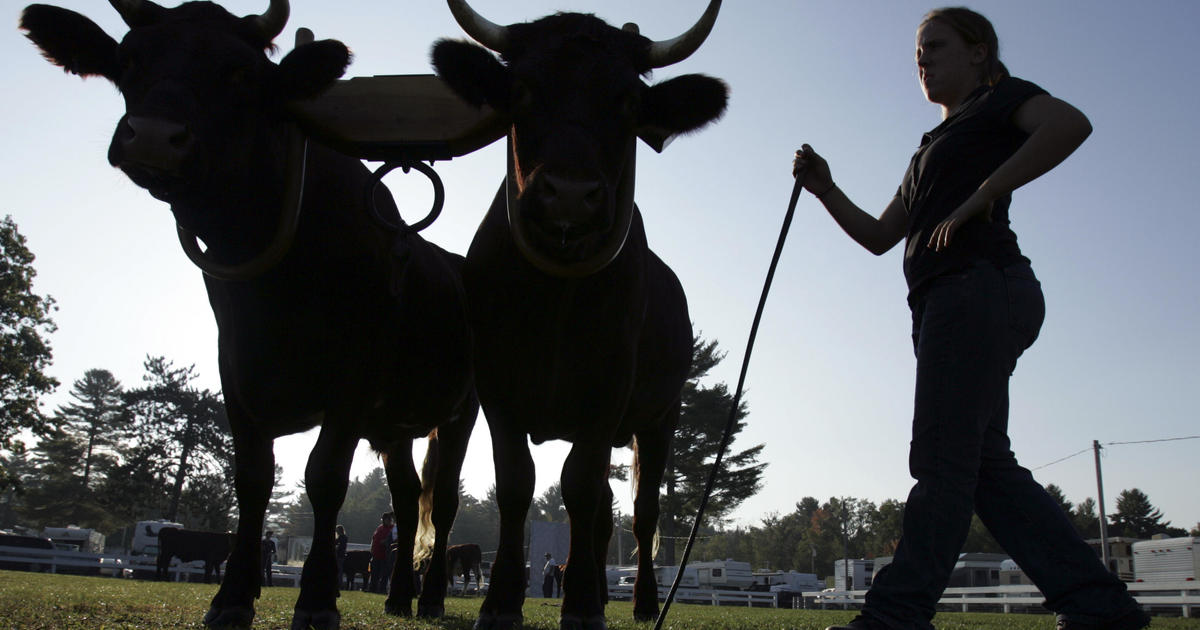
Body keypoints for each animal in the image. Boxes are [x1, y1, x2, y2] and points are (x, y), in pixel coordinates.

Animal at [19, 2, 477, 624]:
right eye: (130, 60)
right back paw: (399, 595)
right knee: (407, 501)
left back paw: (429, 598)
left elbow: (324, 478)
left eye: (240, 73)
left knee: (444, 501)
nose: (154, 137)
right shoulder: (235, 374)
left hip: (460, 410)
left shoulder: (352, 381)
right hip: (394, 426)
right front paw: (232, 597)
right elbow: (253, 480)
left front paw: (317, 600)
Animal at [434, 2, 724, 624]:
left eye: (629, 101)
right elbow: (517, 485)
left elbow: (582, 488)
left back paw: (642, 602)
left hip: (660, 418)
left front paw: (585, 604)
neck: (557, 303)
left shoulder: (608, 393)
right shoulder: (496, 388)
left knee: (641, 512)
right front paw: (502, 600)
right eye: (521, 89)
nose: (568, 194)